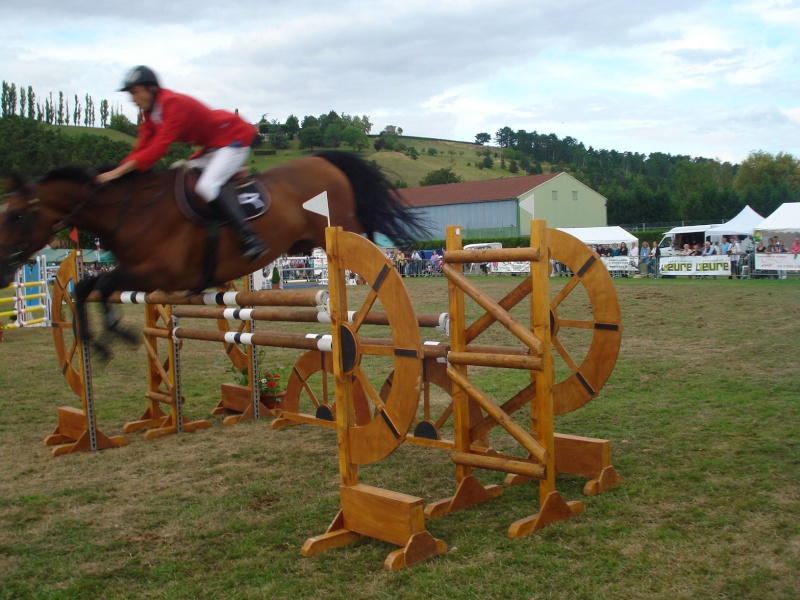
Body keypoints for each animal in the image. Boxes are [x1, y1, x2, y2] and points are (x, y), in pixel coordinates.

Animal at [0, 150, 428, 356]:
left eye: (16, 214)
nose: (5, 267)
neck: (133, 210)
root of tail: (324, 160)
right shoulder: (140, 275)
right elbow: (88, 288)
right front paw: (99, 341)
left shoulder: (158, 272)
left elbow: (100, 286)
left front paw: (113, 336)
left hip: (340, 226)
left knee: (368, 248)